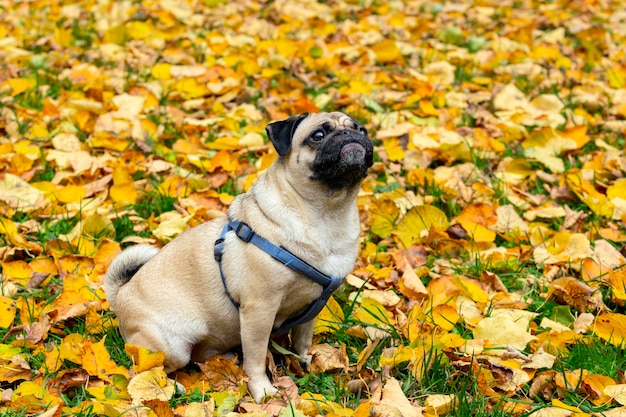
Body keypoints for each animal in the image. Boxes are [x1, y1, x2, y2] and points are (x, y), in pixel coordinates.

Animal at [105, 110, 372, 400]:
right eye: (318, 135)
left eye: (361, 130)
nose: (349, 134)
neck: (327, 214)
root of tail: (121, 294)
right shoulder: (259, 309)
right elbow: (255, 357)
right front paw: (263, 391)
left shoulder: (311, 307)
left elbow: (303, 339)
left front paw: (305, 361)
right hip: (170, 346)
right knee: (144, 368)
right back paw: (170, 387)